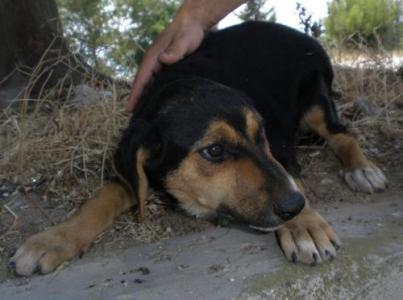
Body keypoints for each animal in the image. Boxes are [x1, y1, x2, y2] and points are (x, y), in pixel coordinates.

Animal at [10, 22, 388, 276]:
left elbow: (292, 176)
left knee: (342, 134)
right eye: (215, 151)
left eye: (260, 135)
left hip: (316, 99)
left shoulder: (280, 150)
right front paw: (53, 240)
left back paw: (362, 170)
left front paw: (304, 225)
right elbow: (99, 199)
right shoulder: (135, 168)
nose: (293, 207)